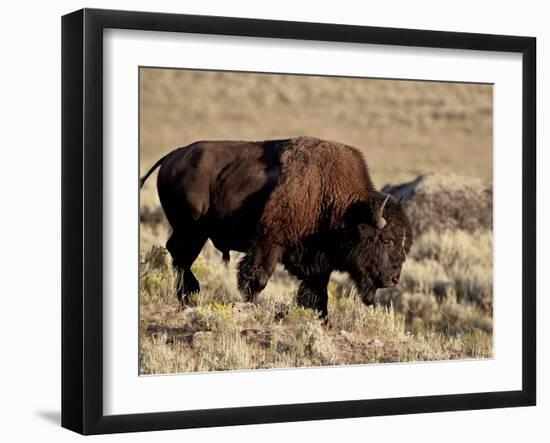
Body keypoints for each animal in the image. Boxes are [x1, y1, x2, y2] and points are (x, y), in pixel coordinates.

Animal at [140, 135, 412, 320]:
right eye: (386, 239)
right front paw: (251, 307)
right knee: (180, 257)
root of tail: (173, 156)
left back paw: (189, 296)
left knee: (178, 256)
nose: (394, 278)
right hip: (192, 229)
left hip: (192, 231)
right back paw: (189, 296)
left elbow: (317, 293)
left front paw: (323, 320)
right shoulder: (268, 243)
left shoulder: (318, 260)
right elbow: (256, 278)